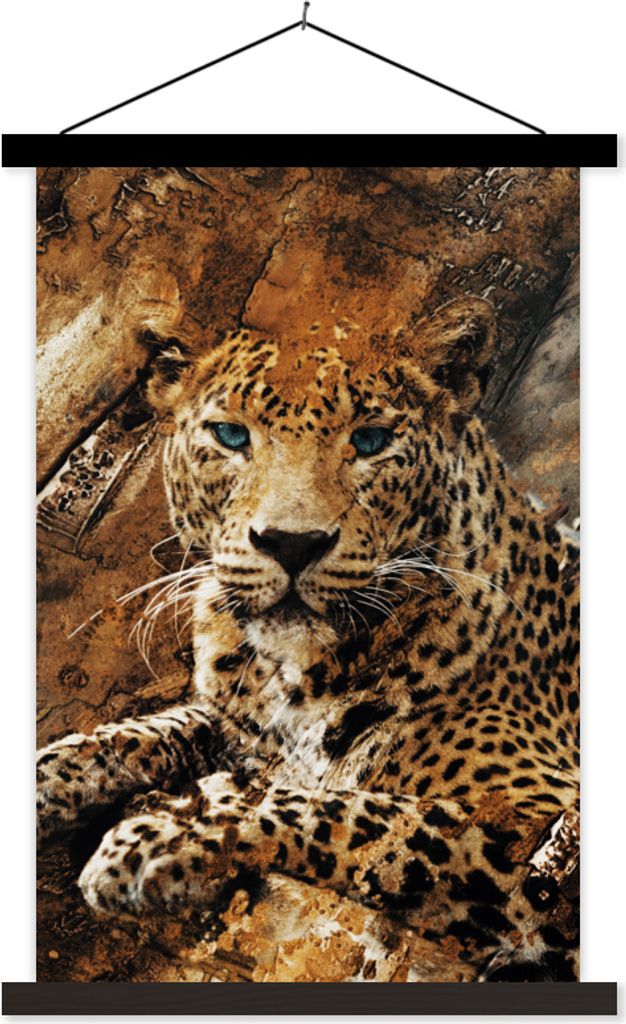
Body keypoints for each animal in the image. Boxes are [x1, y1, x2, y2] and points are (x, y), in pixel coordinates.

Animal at [37, 296, 580, 981]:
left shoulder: (541, 823)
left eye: (371, 440)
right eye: (231, 436)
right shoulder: (237, 724)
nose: (292, 543)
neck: (294, 675)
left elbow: (353, 814)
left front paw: (158, 840)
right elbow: (134, 734)